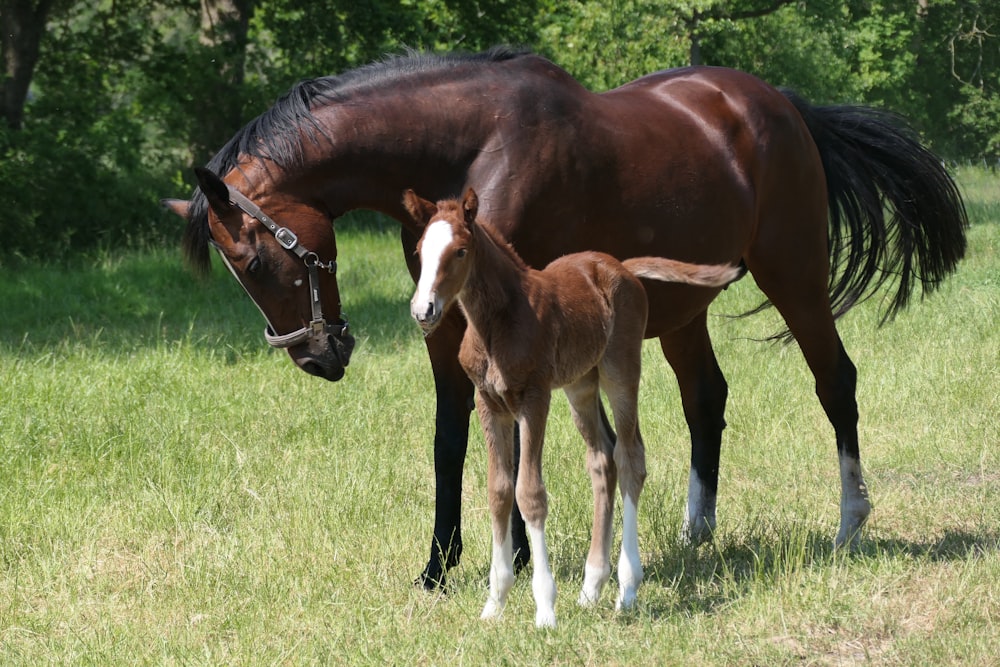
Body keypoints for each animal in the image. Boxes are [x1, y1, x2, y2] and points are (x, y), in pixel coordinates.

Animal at [164, 47, 968, 588]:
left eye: (255, 264)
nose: (315, 355)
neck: (472, 145)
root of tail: (781, 104)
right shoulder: (448, 330)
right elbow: (450, 441)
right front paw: (442, 565)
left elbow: (528, 442)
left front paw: (520, 559)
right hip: (680, 306)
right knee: (706, 397)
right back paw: (696, 531)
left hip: (795, 275)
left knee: (836, 382)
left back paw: (850, 520)